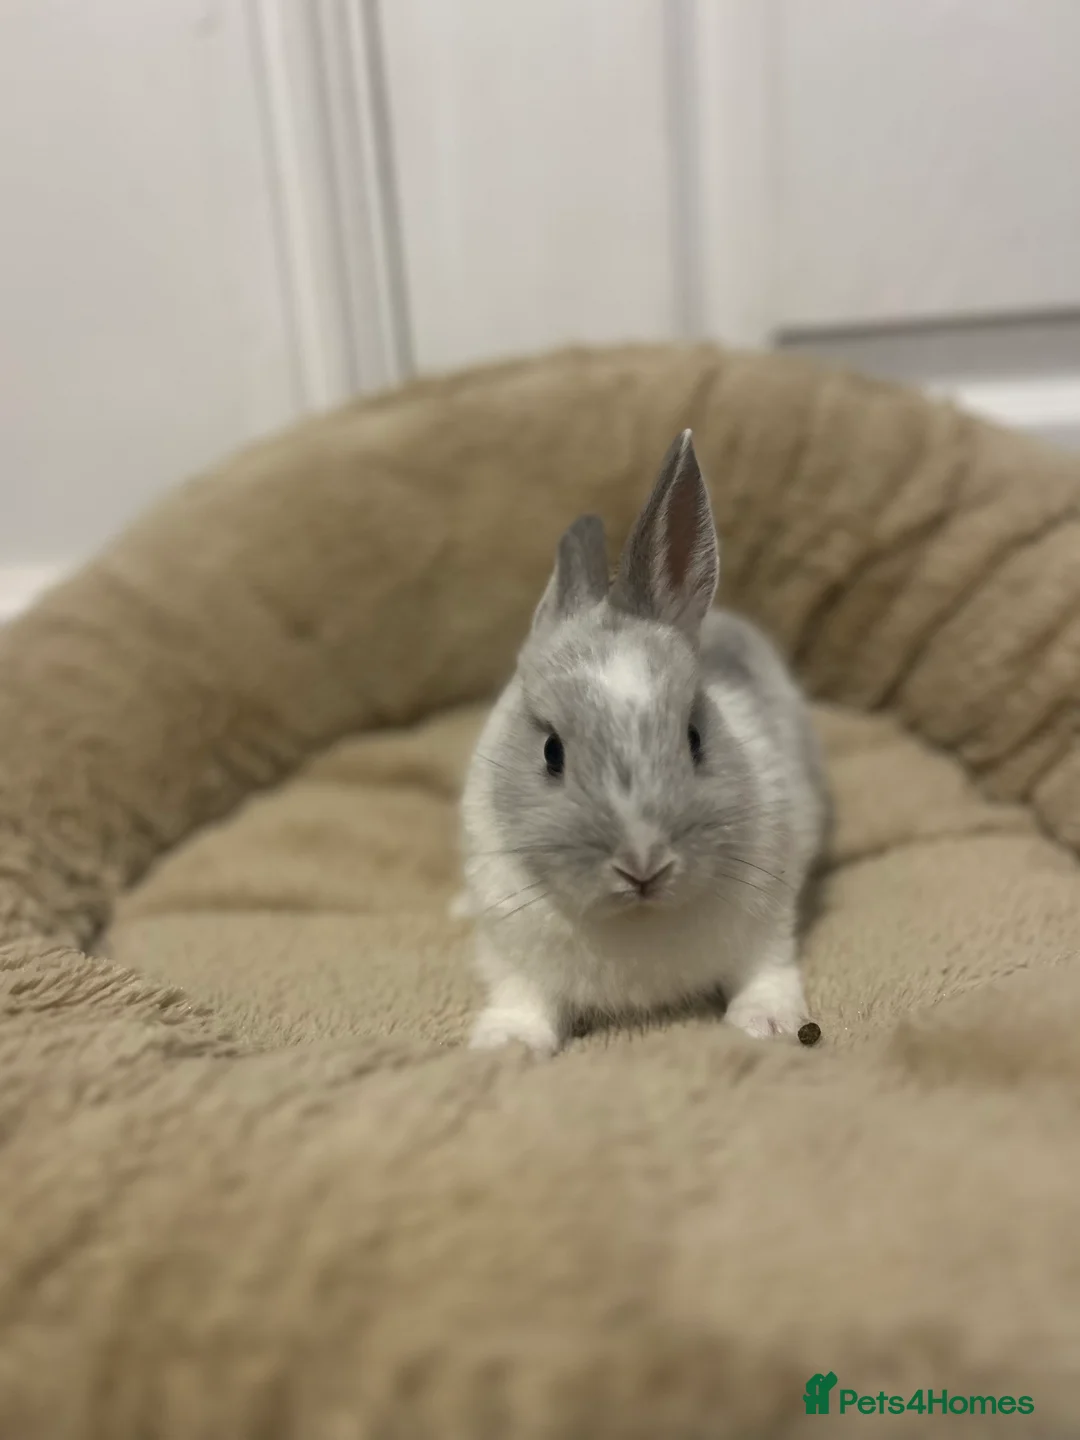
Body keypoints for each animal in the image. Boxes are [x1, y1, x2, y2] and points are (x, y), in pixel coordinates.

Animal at [460, 429, 829, 1056]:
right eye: (551, 752)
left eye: (695, 738)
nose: (643, 864)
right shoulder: (513, 954)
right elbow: (524, 998)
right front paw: (508, 1044)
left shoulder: (769, 917)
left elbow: (765, 970)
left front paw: (767, 1025)